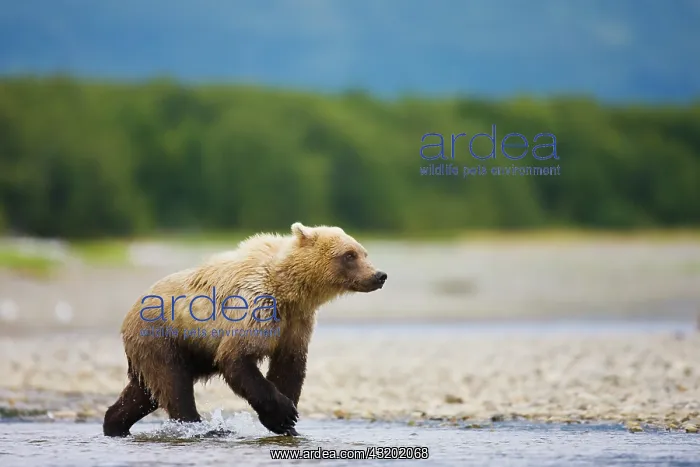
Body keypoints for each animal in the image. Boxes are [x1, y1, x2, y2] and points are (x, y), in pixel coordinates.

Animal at [103, 222, 387, 437]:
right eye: (349, 255)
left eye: (364, 253)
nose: (379, 275)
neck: (290, 290)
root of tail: (128, 315)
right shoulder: (256, 306)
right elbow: (237, 357)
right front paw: (284, 414)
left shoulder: (296, 322)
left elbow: (289, 365)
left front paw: (288, 424)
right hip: (162, 336)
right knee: (174, 384)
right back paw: (204, 428)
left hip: (169, 351)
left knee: (145, 391)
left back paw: (115, 424)